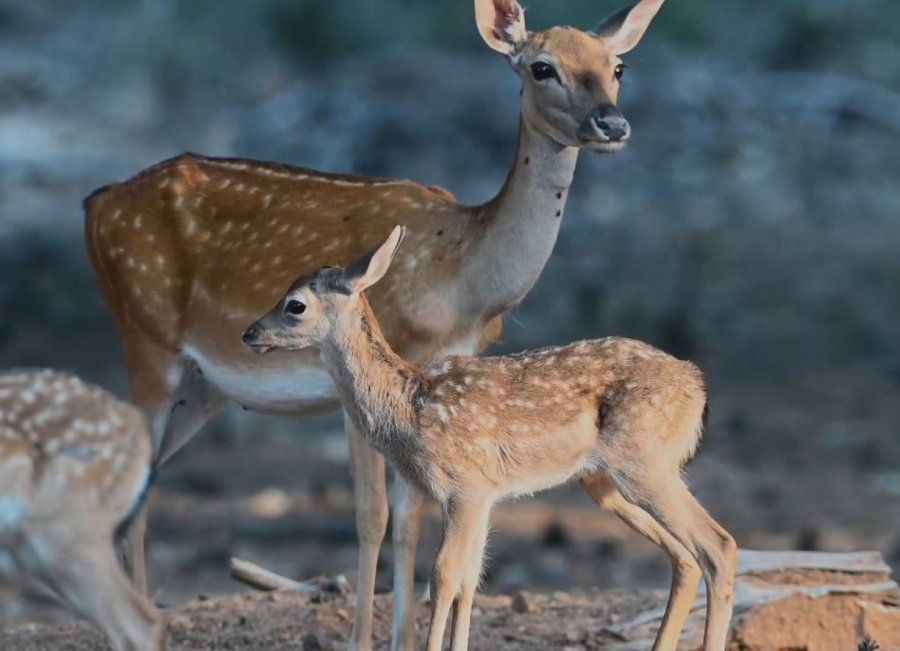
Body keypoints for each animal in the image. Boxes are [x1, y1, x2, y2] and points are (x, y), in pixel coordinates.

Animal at [82, 1, 668, 648]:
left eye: (618, 65)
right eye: (542, 67)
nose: (611, 123)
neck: (465, 275)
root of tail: (95, 204)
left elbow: (411, 519)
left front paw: (403, 637)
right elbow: (373, 515)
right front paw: (362, 637)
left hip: (199, 388)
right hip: (144, 341)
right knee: (128, 491)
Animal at [241, 227, 740, 648]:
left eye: (295, 304)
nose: (249, 333)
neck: (408, 406)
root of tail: (698, 386)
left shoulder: (465, 485)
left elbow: (442, 576)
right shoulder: (485, 495)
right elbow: (469, 580)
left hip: (644, 463)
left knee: (718, 546)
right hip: (603, 481)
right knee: (685, 557)